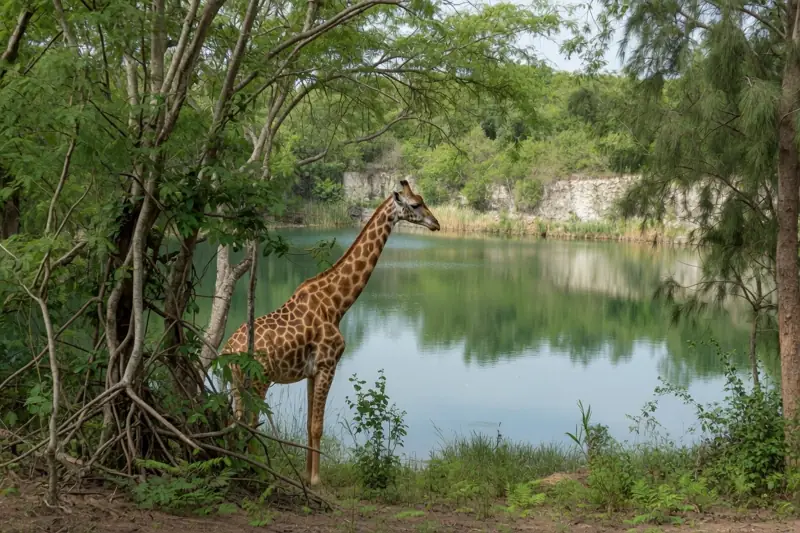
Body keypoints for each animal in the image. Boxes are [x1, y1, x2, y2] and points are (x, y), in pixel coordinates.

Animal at [221, 180, 440, 486]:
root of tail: (228, 350)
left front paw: (306, 475)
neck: (337, 304)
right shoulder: (328, 364)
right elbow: (317, 426)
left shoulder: (312, 372)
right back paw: (257, 474)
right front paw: (316, 481)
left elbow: (308, 424)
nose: (436, 223)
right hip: (259, 380)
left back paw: (241, 470)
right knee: (251, 422)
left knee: (237, 420)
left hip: (236, 381)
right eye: (416, 204)